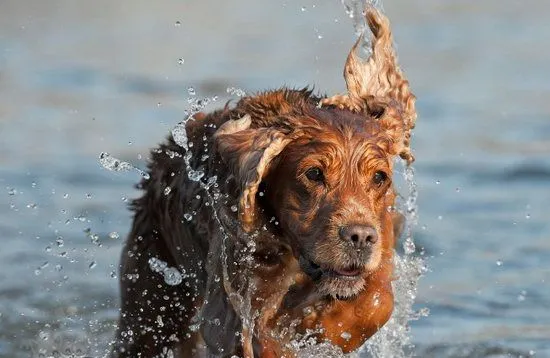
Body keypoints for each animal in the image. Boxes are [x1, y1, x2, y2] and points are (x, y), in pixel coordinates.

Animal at [113, 6, 418, 358]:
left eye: (379, 177)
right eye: (314, 174)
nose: (359, 237)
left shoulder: (382, 234)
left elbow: (377, 300)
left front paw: (325, 326)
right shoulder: (232, 297)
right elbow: (257, 336)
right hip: (151, 289)